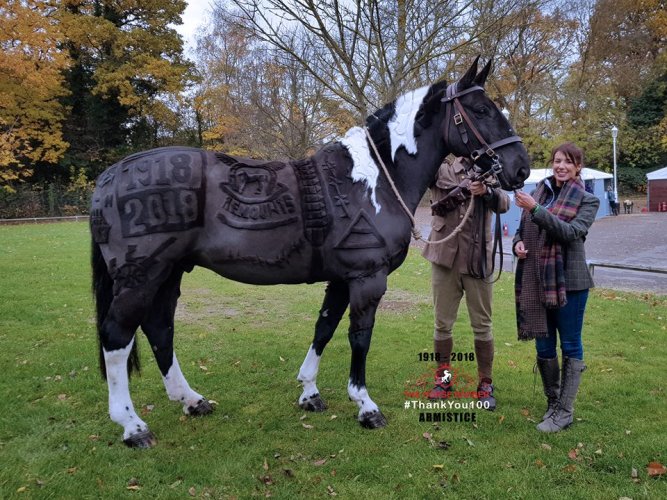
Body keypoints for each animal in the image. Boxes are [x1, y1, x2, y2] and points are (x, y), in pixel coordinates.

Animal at [90, 57, 530, 447]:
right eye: (480, 109)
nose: (521, 168)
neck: (372, 180)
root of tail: (110, 176)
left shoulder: (341, 279)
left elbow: (324, 328)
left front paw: (309, 392)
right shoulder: (367, 279)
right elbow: (359, 337)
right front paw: (365, 406)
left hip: (169, 273)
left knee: (160, 329)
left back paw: (191, 400)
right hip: (142, 276)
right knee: (117, 336)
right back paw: (132, 426)